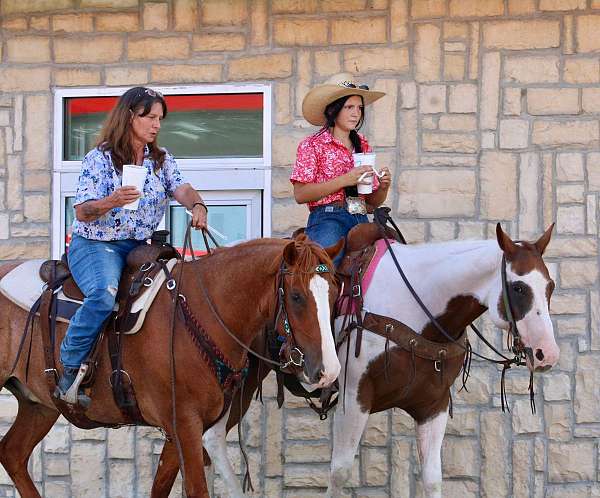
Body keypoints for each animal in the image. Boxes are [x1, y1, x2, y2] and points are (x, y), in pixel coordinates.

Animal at [0, 234, 342, 498]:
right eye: (296, 296)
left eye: (335, 293)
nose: (329, 371)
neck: (203, 314)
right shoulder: (184, 424)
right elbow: (196, 489)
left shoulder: (182, 429)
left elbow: (161, 485)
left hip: (39, 404)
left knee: (13, 453)